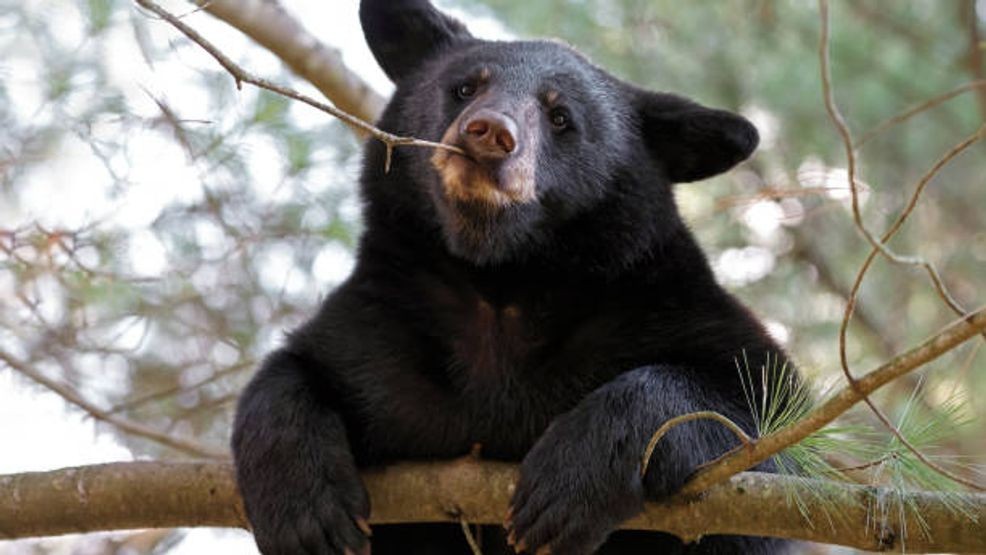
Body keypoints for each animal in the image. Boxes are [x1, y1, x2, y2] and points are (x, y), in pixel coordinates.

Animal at [231, 0, 795, 554]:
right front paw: (306, 513)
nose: (489, 133)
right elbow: (297, 367)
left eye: (561, 116)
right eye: (466, 86)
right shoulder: (383, 320)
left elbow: (759, 421)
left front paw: (568, 482)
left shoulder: (655, 301)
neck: (501, 280)